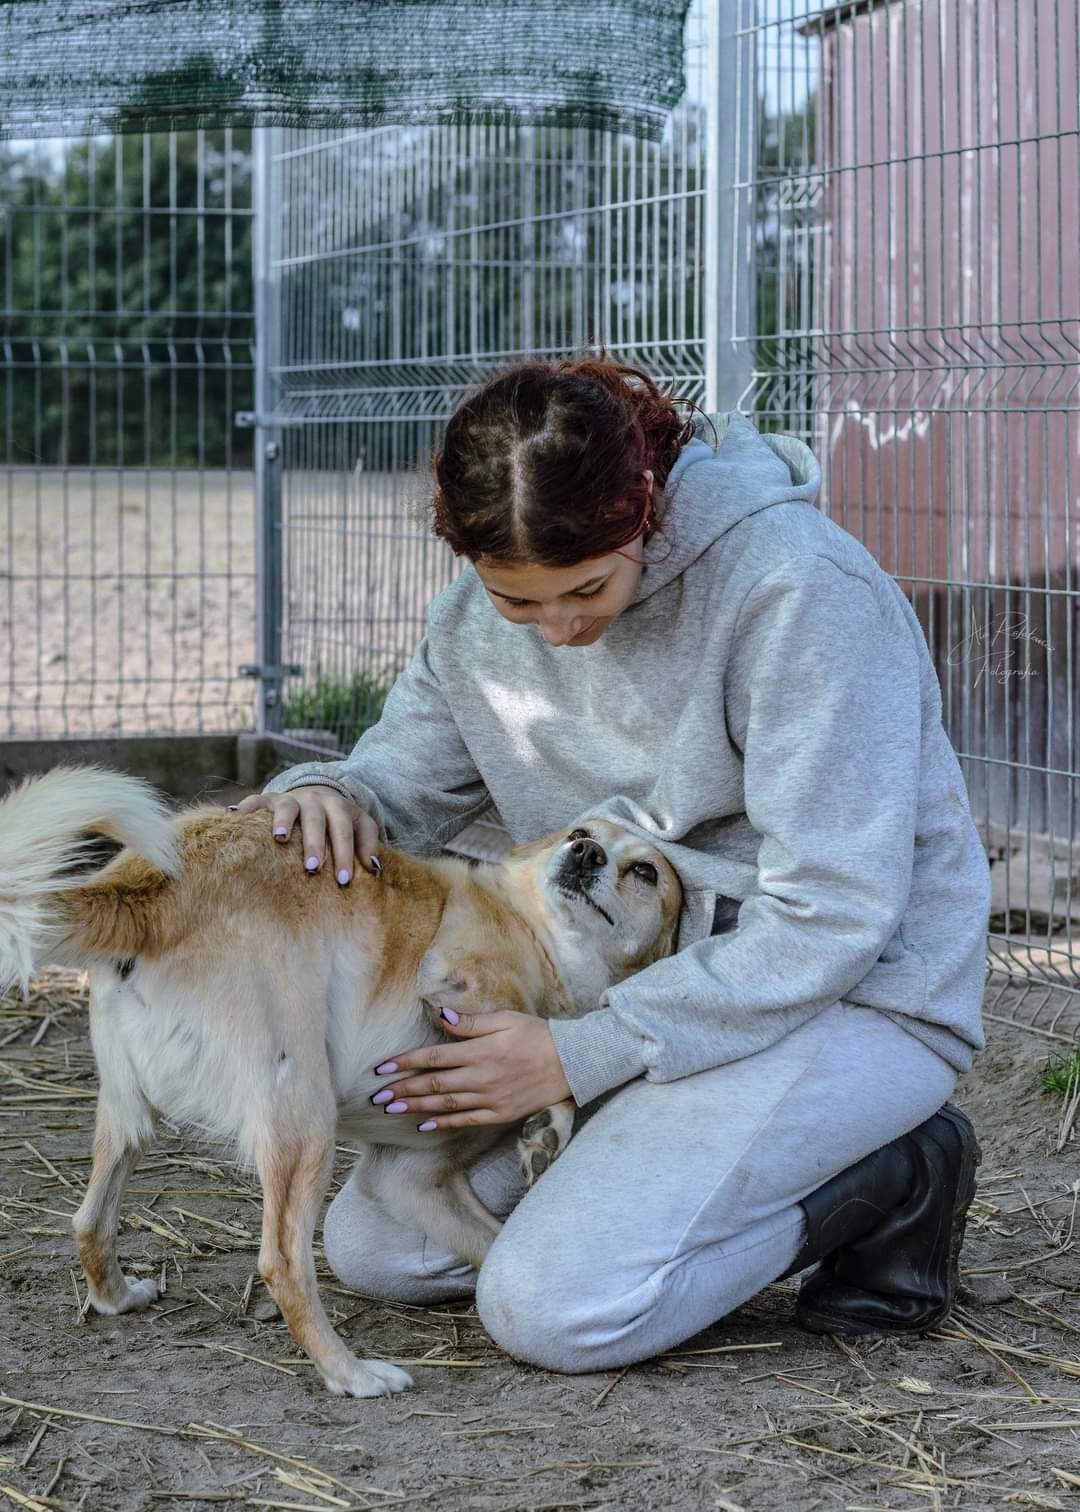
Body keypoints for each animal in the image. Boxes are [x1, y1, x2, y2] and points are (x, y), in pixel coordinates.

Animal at [0, 774, 671, 1397]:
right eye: (580, 834)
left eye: (646, 871)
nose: (585, 854)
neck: (536, 930)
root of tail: (150, 885)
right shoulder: (460, 982)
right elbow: (533, 1033)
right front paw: (548, 1122)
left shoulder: (411, 1180)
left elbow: (493, 1247)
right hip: (305, 1115)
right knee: (282, 1262)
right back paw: (352, 1373)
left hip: (128, 1114)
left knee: (89, 1220)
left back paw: (117, 1297)